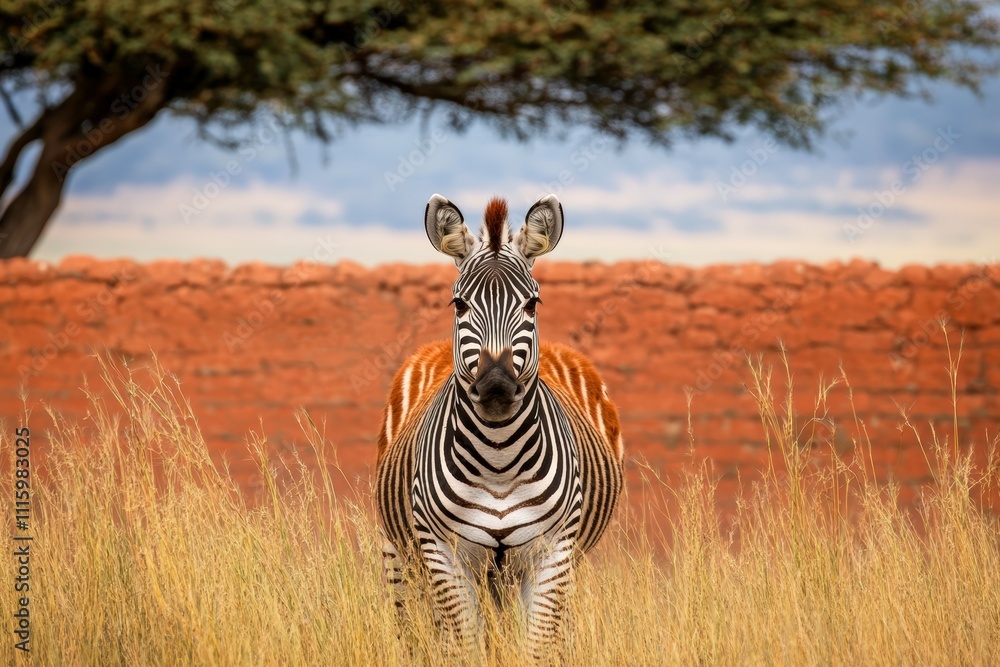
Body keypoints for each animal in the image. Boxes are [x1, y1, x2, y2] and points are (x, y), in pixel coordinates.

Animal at [375, 194, 624, 657]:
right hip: (400, 554)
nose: (496, 385)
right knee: (412, 628)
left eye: (532, 304)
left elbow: (536, 648)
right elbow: (464, 647)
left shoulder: (553, 554)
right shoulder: (444, 554)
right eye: (459, 304)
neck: (499, 460)